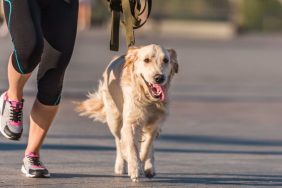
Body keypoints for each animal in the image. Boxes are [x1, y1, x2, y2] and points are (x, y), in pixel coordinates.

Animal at [76, 44, 177, 182]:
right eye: (146, 60)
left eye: (166, 60)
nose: (159, 78)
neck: (148, 99)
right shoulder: (131, 123)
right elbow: (132, 147)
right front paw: (134, 168)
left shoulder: (155, 124)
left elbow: (147, 146)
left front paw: (142, 164)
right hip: (114, 119)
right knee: (119, 141)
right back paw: (121, 164)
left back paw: (149, 166)